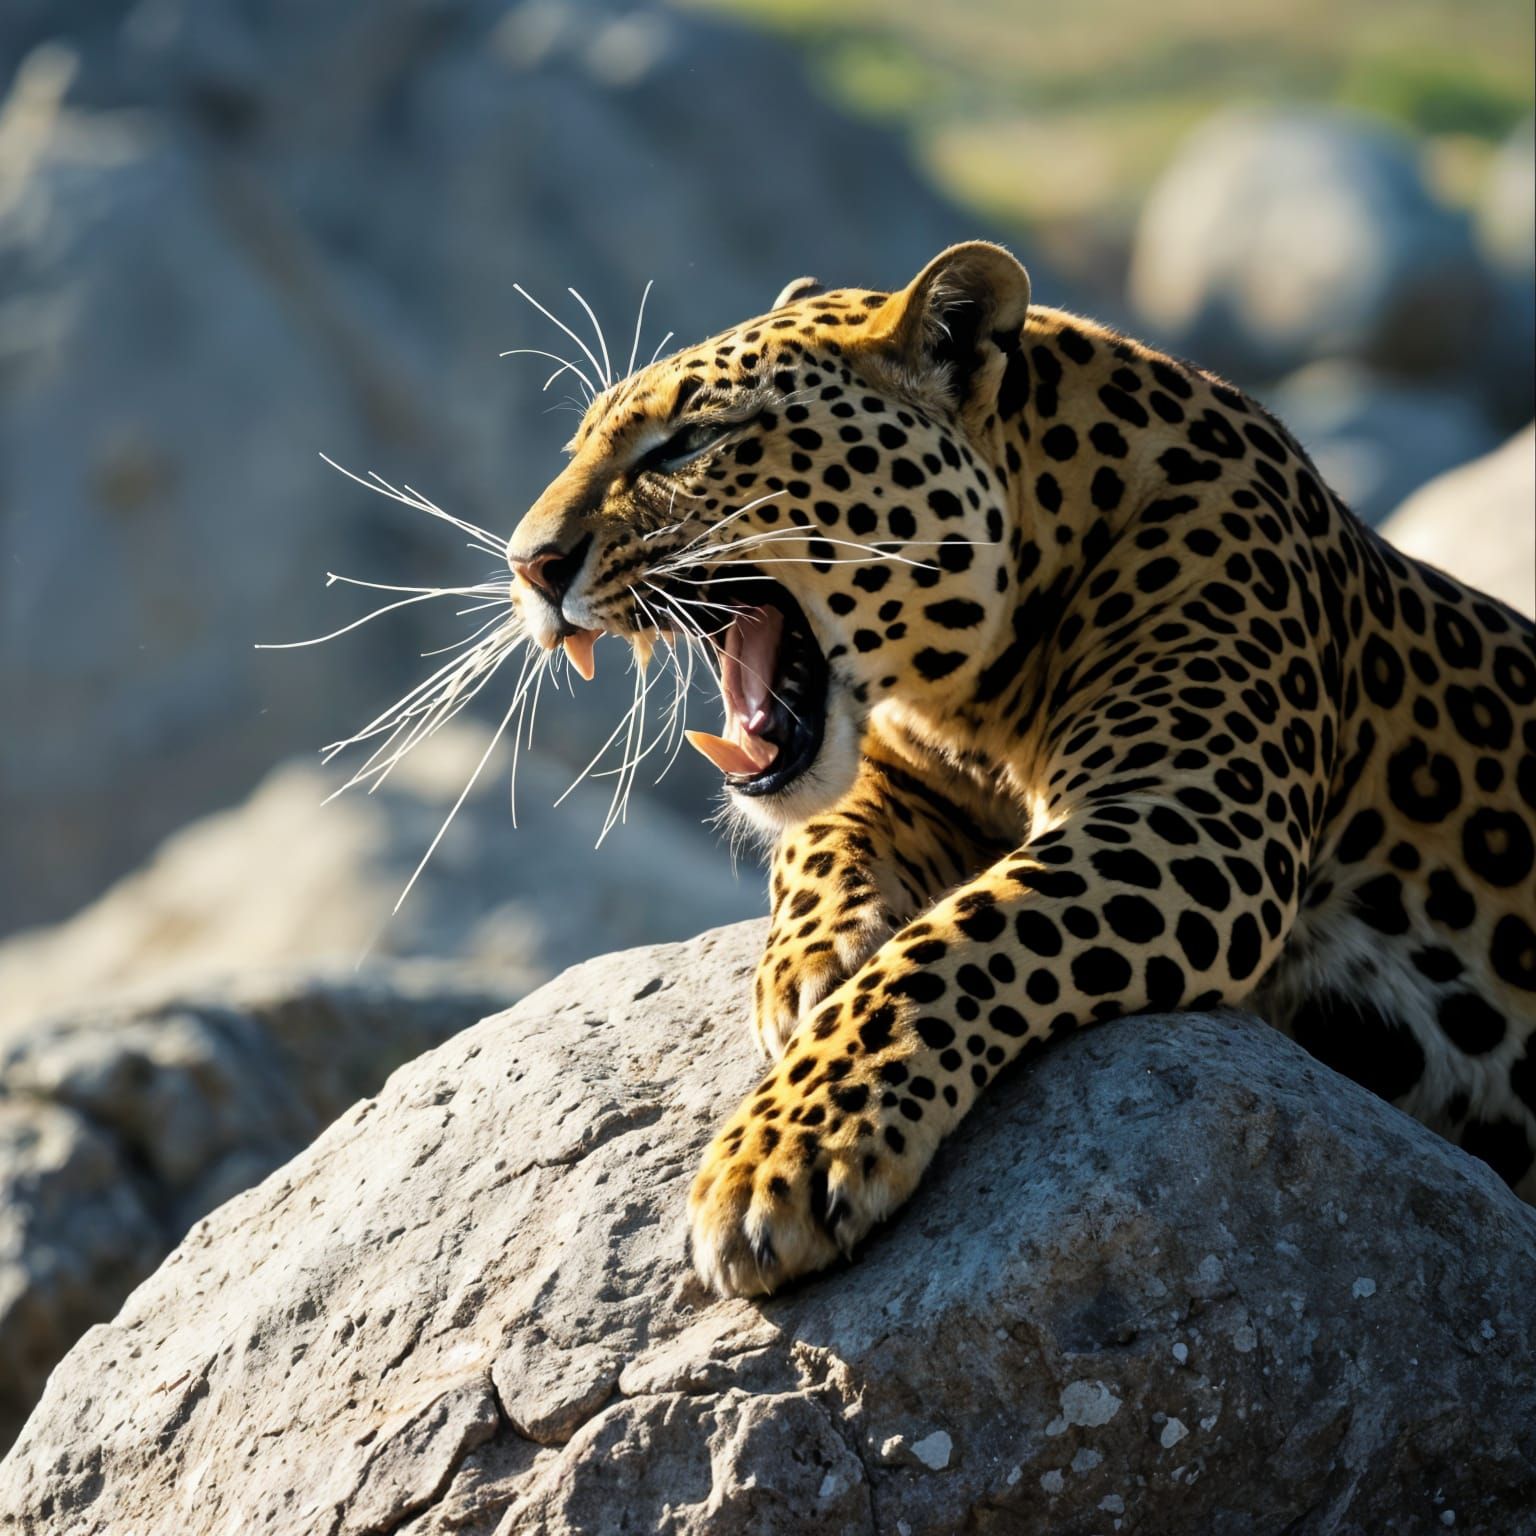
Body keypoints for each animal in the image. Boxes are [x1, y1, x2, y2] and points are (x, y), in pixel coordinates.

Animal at [504, 241, 1536, 1298]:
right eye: (579, 446)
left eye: (686, 445)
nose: (528, 565)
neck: (979, 705)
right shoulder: (903, 770)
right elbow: (821, 835)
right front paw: (808, 963)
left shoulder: (1191, 817)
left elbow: (955, 943)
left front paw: (782, 1158)